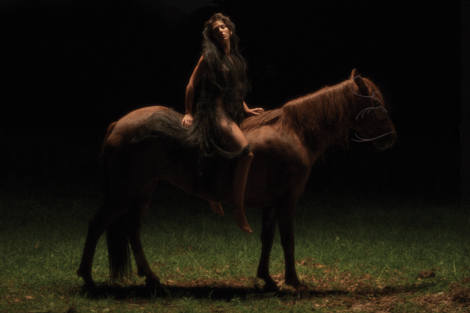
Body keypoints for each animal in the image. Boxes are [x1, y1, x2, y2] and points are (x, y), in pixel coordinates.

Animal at [77, 69, 396, 298]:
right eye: (375, 103)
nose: (391, 137)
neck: (293, 132)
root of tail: (118, 124)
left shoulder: (272, 202)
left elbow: (267, 239)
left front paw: (268, 280)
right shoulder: (287, 200)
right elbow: (288, 240)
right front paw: (295, 283)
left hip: (144, 189)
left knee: (132, 229)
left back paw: (152, 279)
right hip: (124, 191)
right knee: (96, 224)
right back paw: (88, 280)